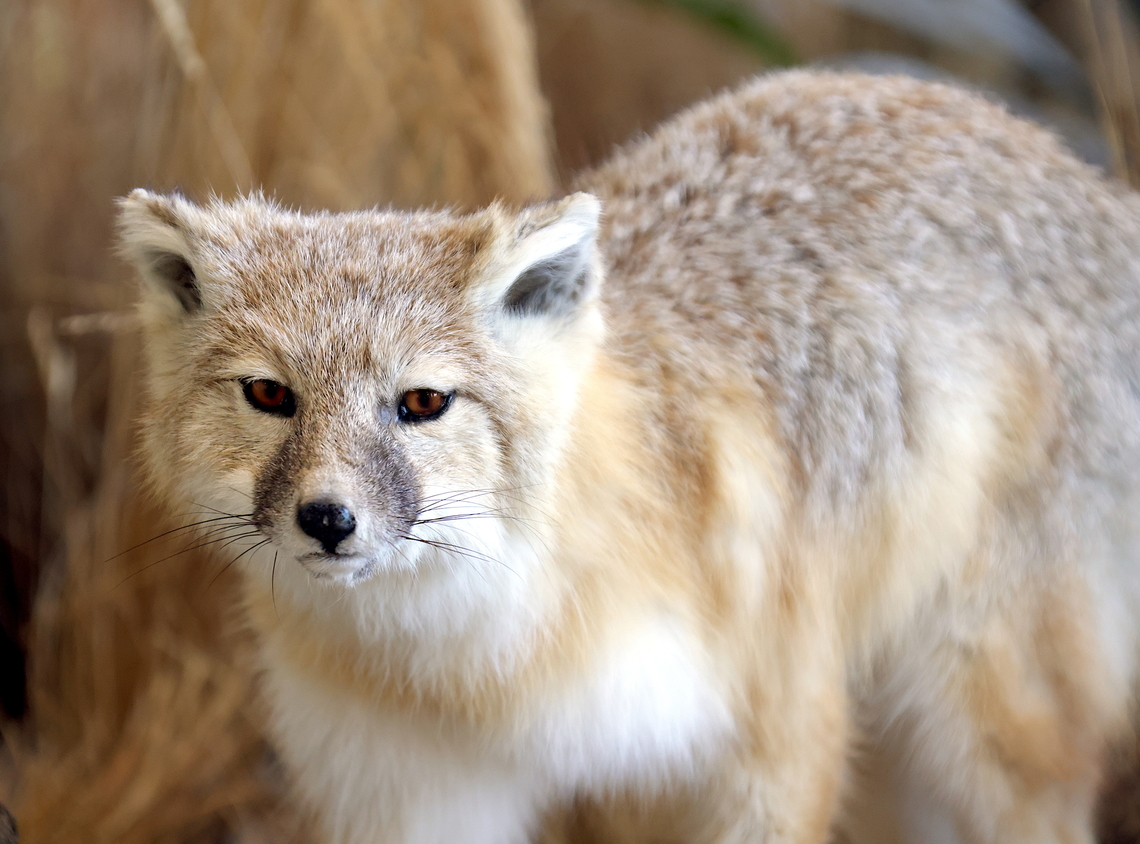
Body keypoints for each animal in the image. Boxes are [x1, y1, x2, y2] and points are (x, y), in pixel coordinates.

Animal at [118, 71, 1140, 844]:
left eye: (422, 404)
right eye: (269, 395)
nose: (328, 520)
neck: (487, 669)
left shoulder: (771, 740)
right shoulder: (410, 790)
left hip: (990, 730)